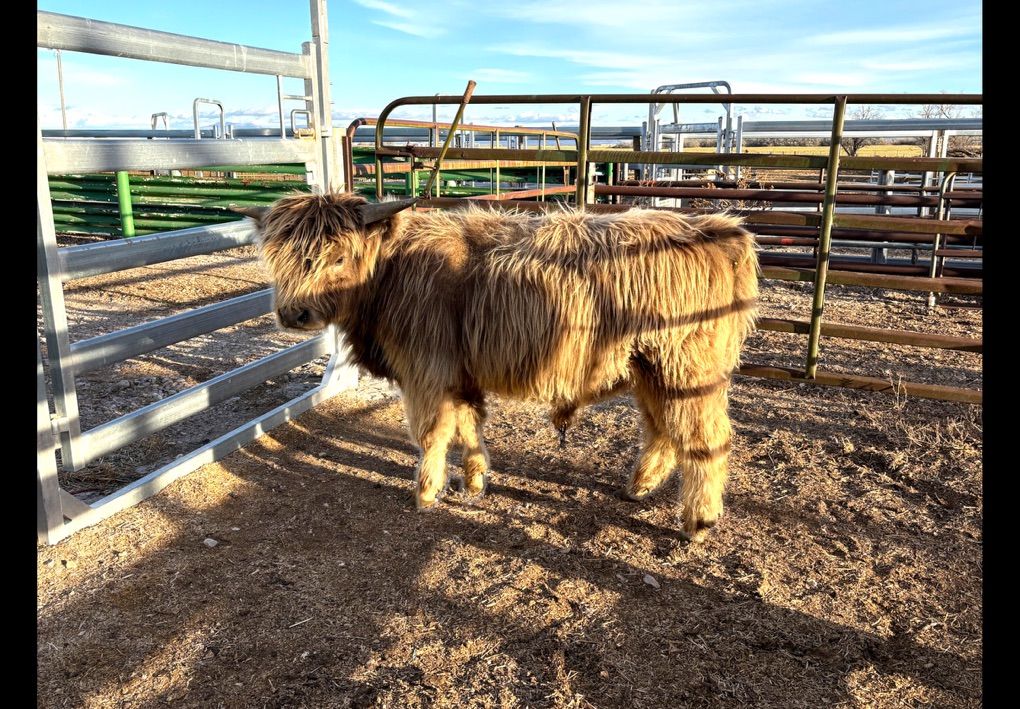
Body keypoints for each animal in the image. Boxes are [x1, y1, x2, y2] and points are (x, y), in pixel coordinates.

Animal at [235, 192, 758, 538]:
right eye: (276, 257)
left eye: (338, 256)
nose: (294, 314)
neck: (389, 277)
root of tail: (723, 230)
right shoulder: (459, 374)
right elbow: (468, 424)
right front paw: (475, 479)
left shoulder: (427, 373)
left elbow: (431, 434)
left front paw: (427, 492)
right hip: (650, 370)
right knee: (663, 428)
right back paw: (641, 484)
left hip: (686, 370)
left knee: (706, 437)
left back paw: (699, 520)